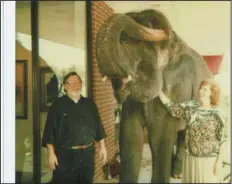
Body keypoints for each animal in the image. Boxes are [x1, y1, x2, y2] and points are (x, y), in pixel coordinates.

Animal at [95, 8, 213, 183]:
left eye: (133, 42)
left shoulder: (177, 88)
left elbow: (159, 140)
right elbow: (130, 138)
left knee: (181, 134)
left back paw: (176, 174)